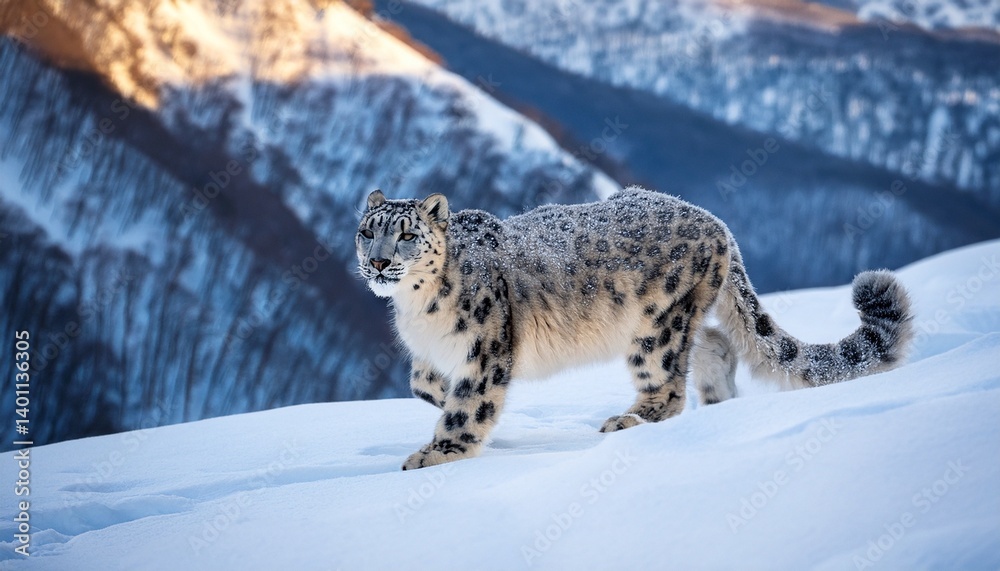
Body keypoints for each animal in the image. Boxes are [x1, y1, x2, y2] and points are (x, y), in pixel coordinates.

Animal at [355, 186, 913, 470]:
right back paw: (719, 399)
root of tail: (717, 222)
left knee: (668, 387)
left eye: (406, 234)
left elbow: (468, 405)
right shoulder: (431, 354)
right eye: (366, 231)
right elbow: (423, 384)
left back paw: (628, 420)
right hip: (680, 320)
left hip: (656, 326)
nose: (378, 263)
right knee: (715, 342)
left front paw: (437, 454)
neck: (416, 308)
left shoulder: (487, 346)